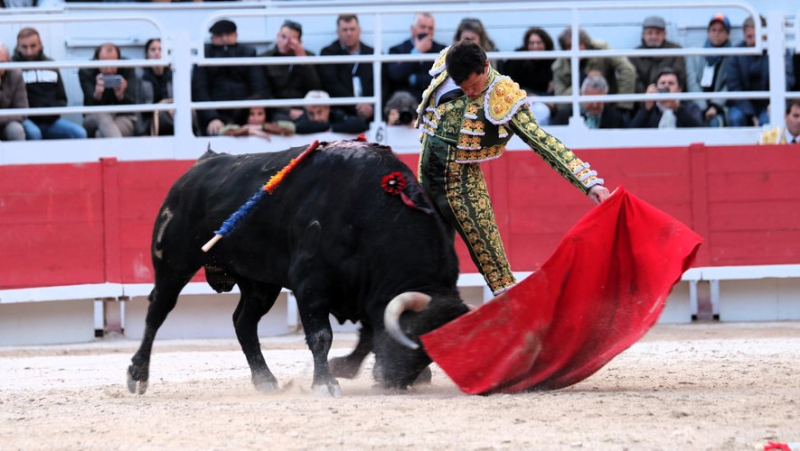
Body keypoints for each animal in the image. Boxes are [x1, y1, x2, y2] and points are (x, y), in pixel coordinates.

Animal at [126, 140, 468, 396]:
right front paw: (326, 384)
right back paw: (138, 375)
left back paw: (265, 380)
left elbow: (369, 334)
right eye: (412, 335)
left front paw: (344, 368)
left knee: (243, 322)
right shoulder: (310, 283)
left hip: (260, 283)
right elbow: (321, 335)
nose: (393, 381)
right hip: (174, 264)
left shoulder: (368, 292)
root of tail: (197, 168)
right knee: (157, 312)